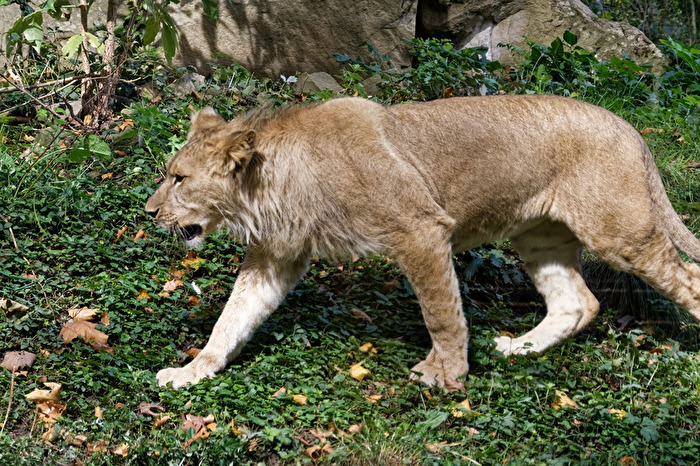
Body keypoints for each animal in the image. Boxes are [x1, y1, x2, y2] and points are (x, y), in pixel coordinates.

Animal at [146, 95, 700, 389]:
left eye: (179, 179)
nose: (149, 212)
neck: (270, 185)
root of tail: (628, 126)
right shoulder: (274, 257)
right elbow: (232, 318)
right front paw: (192, 372)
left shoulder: (421, 231)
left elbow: (441, 312)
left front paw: (446, 375)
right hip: (539, 236)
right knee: (578, 302)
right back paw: (517, 348)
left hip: (620, 232)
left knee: (687, 278)